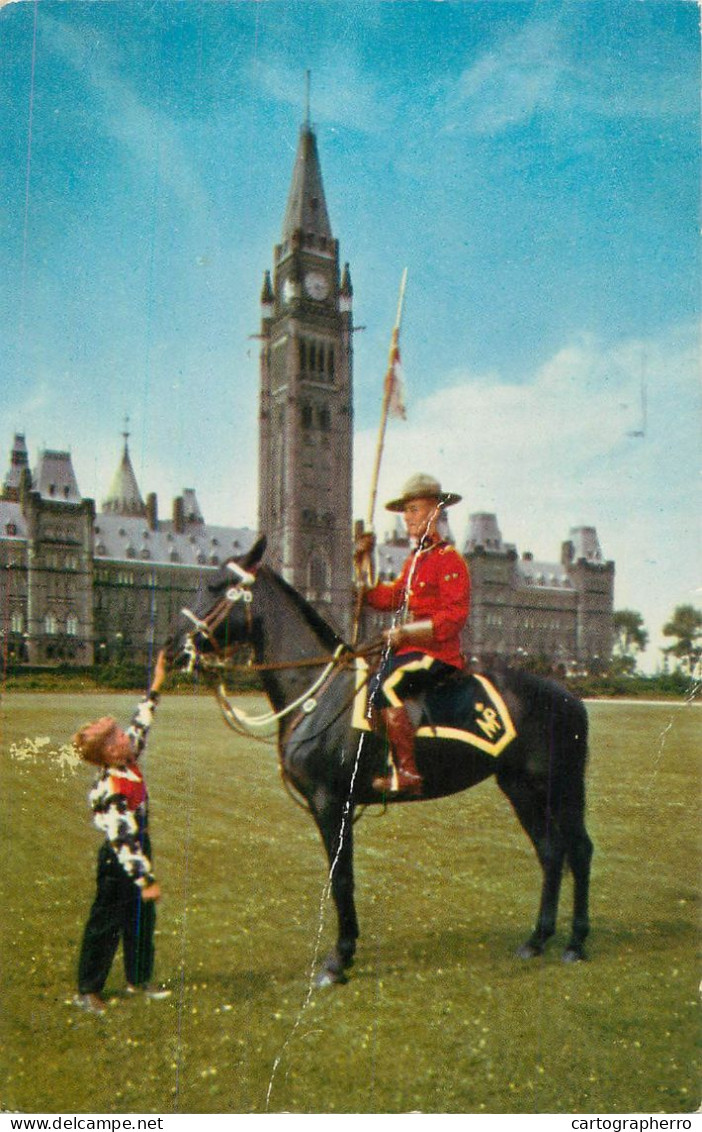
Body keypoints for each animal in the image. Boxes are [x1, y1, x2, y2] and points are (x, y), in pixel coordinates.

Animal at [177, 536, 593, 982]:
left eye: (217, 585)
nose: (177, 646)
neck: (319, 692)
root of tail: (569, 697)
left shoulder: (330, 802)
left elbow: (341, 878)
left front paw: (338, 958)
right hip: (521, 787)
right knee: (551, 851)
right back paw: (537, 939)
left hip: (561, 785)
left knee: (579, 850)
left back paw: (575, 943)